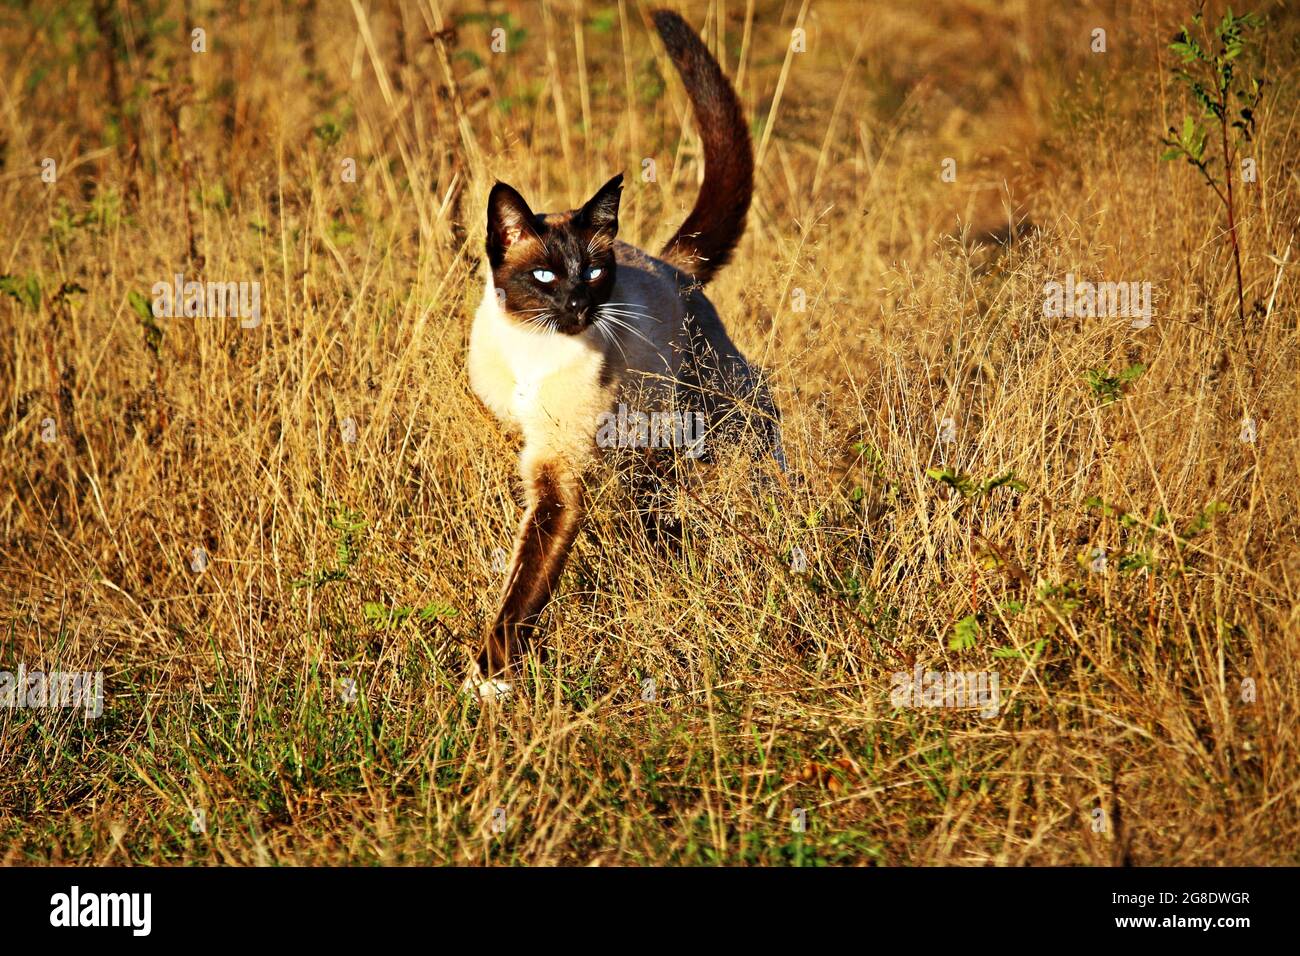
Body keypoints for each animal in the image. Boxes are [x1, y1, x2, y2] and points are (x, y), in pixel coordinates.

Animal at [467, 5, 780, 697]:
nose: (578, 309)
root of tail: (670, 263)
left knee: (762, 421)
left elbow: (524, 585)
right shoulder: (530, 443)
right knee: (652, 494)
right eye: (545, 277)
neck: (533, 352)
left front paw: (492, 676)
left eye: (591, 274)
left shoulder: (558, 474)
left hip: (711, 408)